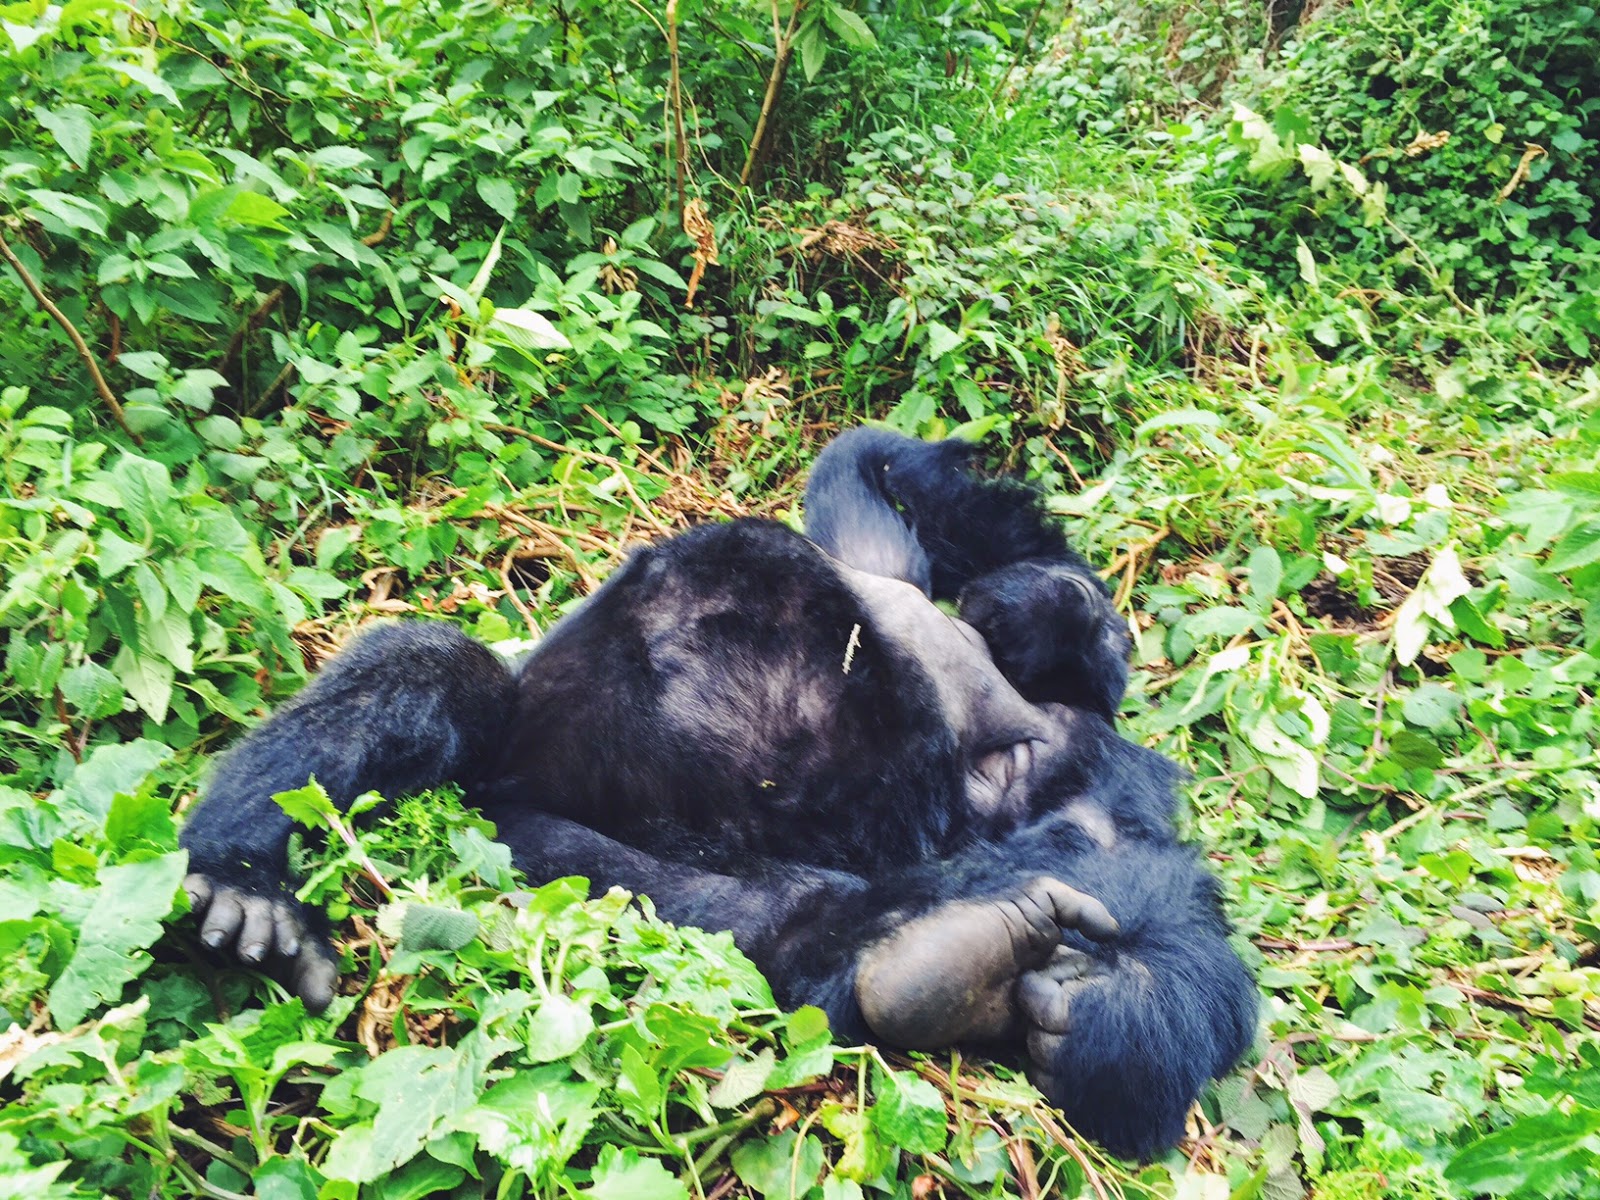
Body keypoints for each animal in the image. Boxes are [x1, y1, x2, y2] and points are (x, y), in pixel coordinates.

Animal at [181, 428, 1260, 1158]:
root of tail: (513, 777)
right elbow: (874, 475)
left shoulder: (1087, 790)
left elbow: (1168, 930)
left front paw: (1108, 1012)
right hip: (520, 788)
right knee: (443, 680)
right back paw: (242, 875)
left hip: (520, 834)